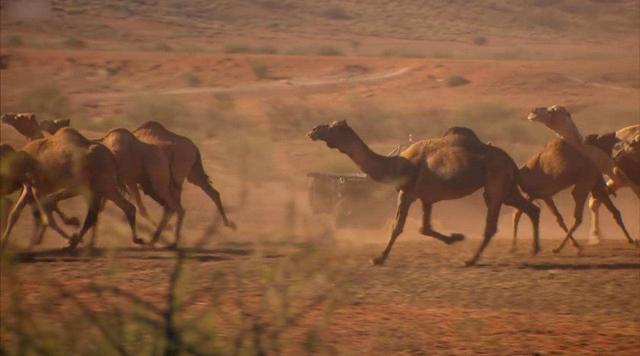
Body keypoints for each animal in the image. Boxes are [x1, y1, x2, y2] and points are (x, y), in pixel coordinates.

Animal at [0, 126, 142, 249]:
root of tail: (111, 156)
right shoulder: (29, 187)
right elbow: (14, 214)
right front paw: (4, 241)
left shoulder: (38, 186)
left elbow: (48, 215)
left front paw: (70, 226)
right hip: (100, 187)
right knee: (103, 212)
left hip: (102, 185)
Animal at [308, 121, 536, 266]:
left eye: (332, 126)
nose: (314, 130)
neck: (396, 164)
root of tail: (512, 161)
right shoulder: (427, 197)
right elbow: (424, 228)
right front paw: (455, 237)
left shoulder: (406, 193)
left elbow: (397, 226)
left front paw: (379, 258)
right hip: (508, 187)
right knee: (531, 209)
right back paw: (534, 249)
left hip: (495, 182)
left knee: (492, 223)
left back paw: (472, 260)